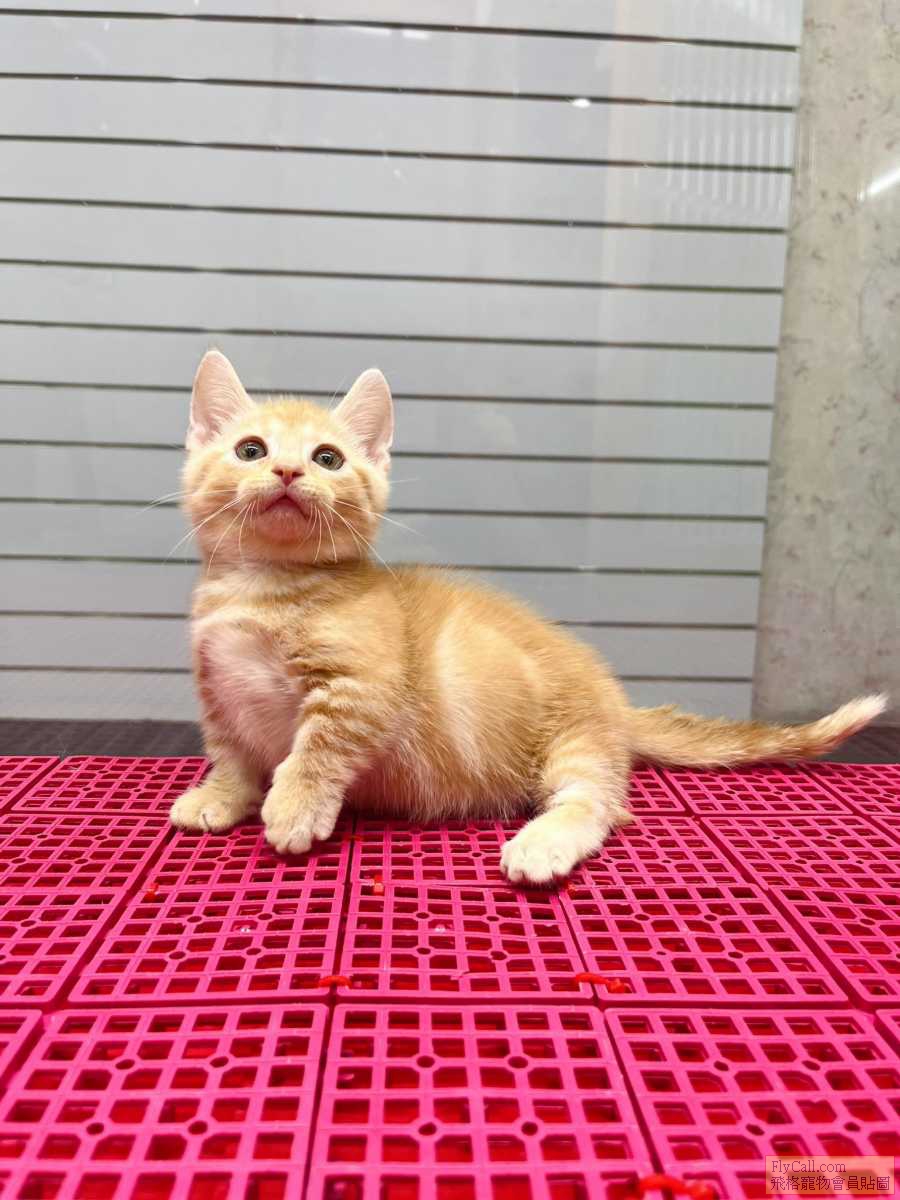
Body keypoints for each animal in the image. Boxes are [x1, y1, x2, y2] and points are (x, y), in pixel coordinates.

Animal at [170, 350, 886, 883]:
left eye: (327, 458)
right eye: (251, 449)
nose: (290, 471)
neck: (263, 588)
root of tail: (614, 701)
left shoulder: (362, 687)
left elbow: (319, 747)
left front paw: (293, 805)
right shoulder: (217, 691)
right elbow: (231, 752)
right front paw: (222, 796)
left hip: (573, 737)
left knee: (595, 800)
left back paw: (543, 844)